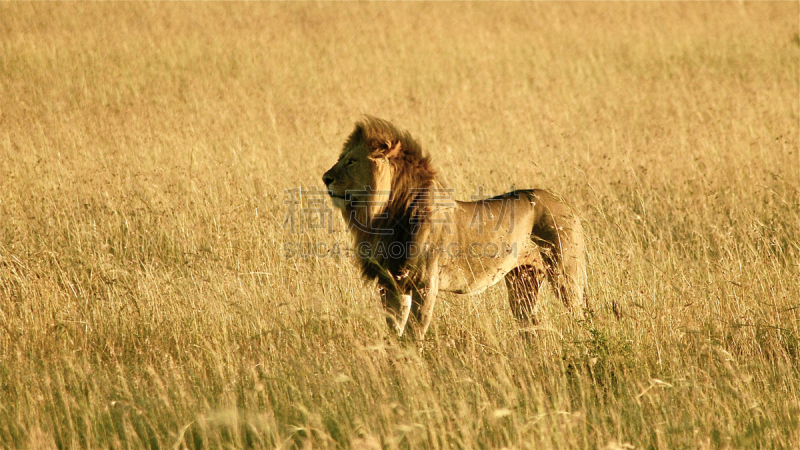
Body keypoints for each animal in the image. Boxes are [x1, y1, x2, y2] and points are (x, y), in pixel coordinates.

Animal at [322, 116, 592, 338]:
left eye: (351, 161)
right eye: (340, 159)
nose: (325, 178)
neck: (382, 216)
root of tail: (567, 204)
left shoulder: (425, 284)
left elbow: (413, 335)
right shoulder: (391, 283)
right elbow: (394, 333)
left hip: (565, 274)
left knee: (578, 316)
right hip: (522, 280)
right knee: (532, 325)